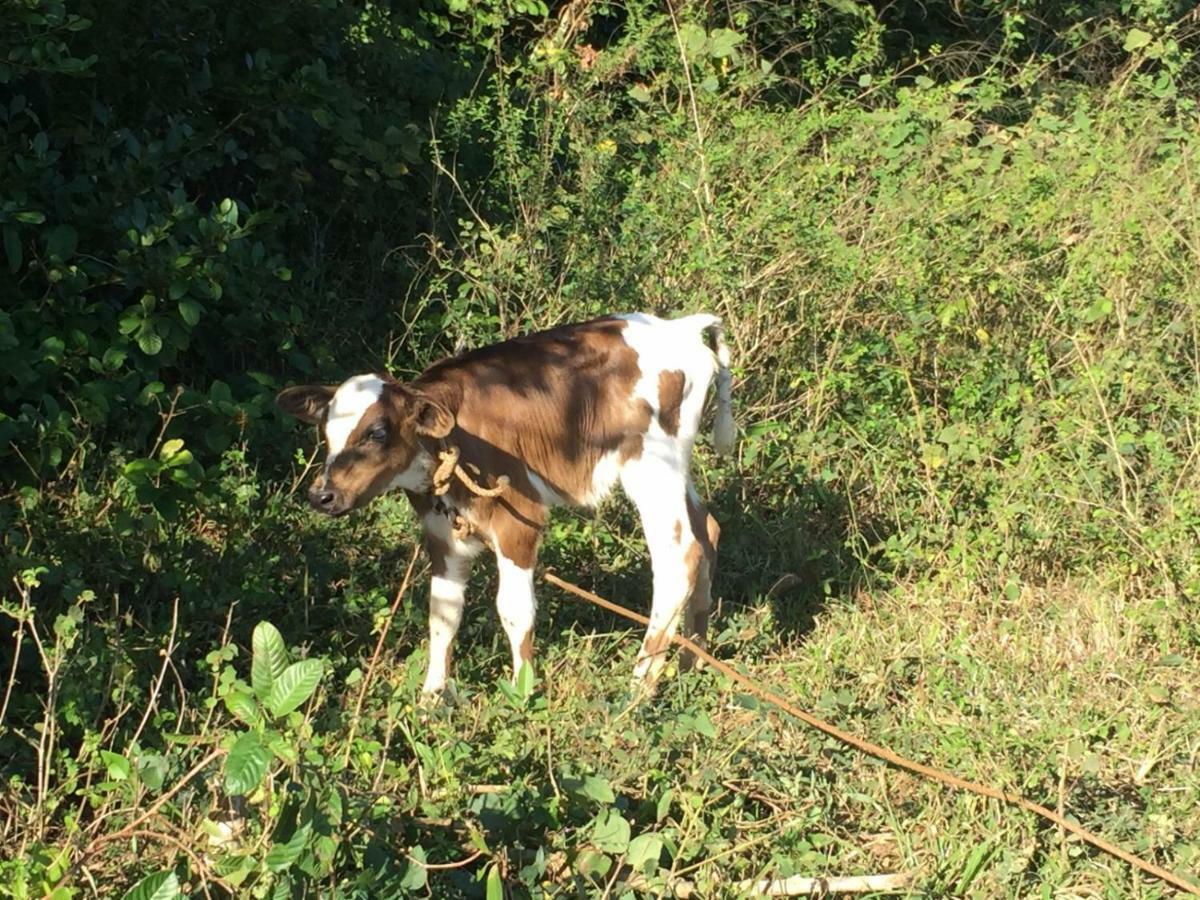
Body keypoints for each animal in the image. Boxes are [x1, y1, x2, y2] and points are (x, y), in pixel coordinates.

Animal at [276, 312, 734, 696]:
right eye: (325, 431)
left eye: (377, 432)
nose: (322, 494)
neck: (451, 443)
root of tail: (681, 326)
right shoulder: (441, 536)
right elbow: (442, 614)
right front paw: (430, 699)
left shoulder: (519, 521)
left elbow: (514, 610)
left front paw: (522, 693)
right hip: (672, 470)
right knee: (707, 530)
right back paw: (692, 663)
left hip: (651, 466)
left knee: (679, 557)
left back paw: (638, 685)